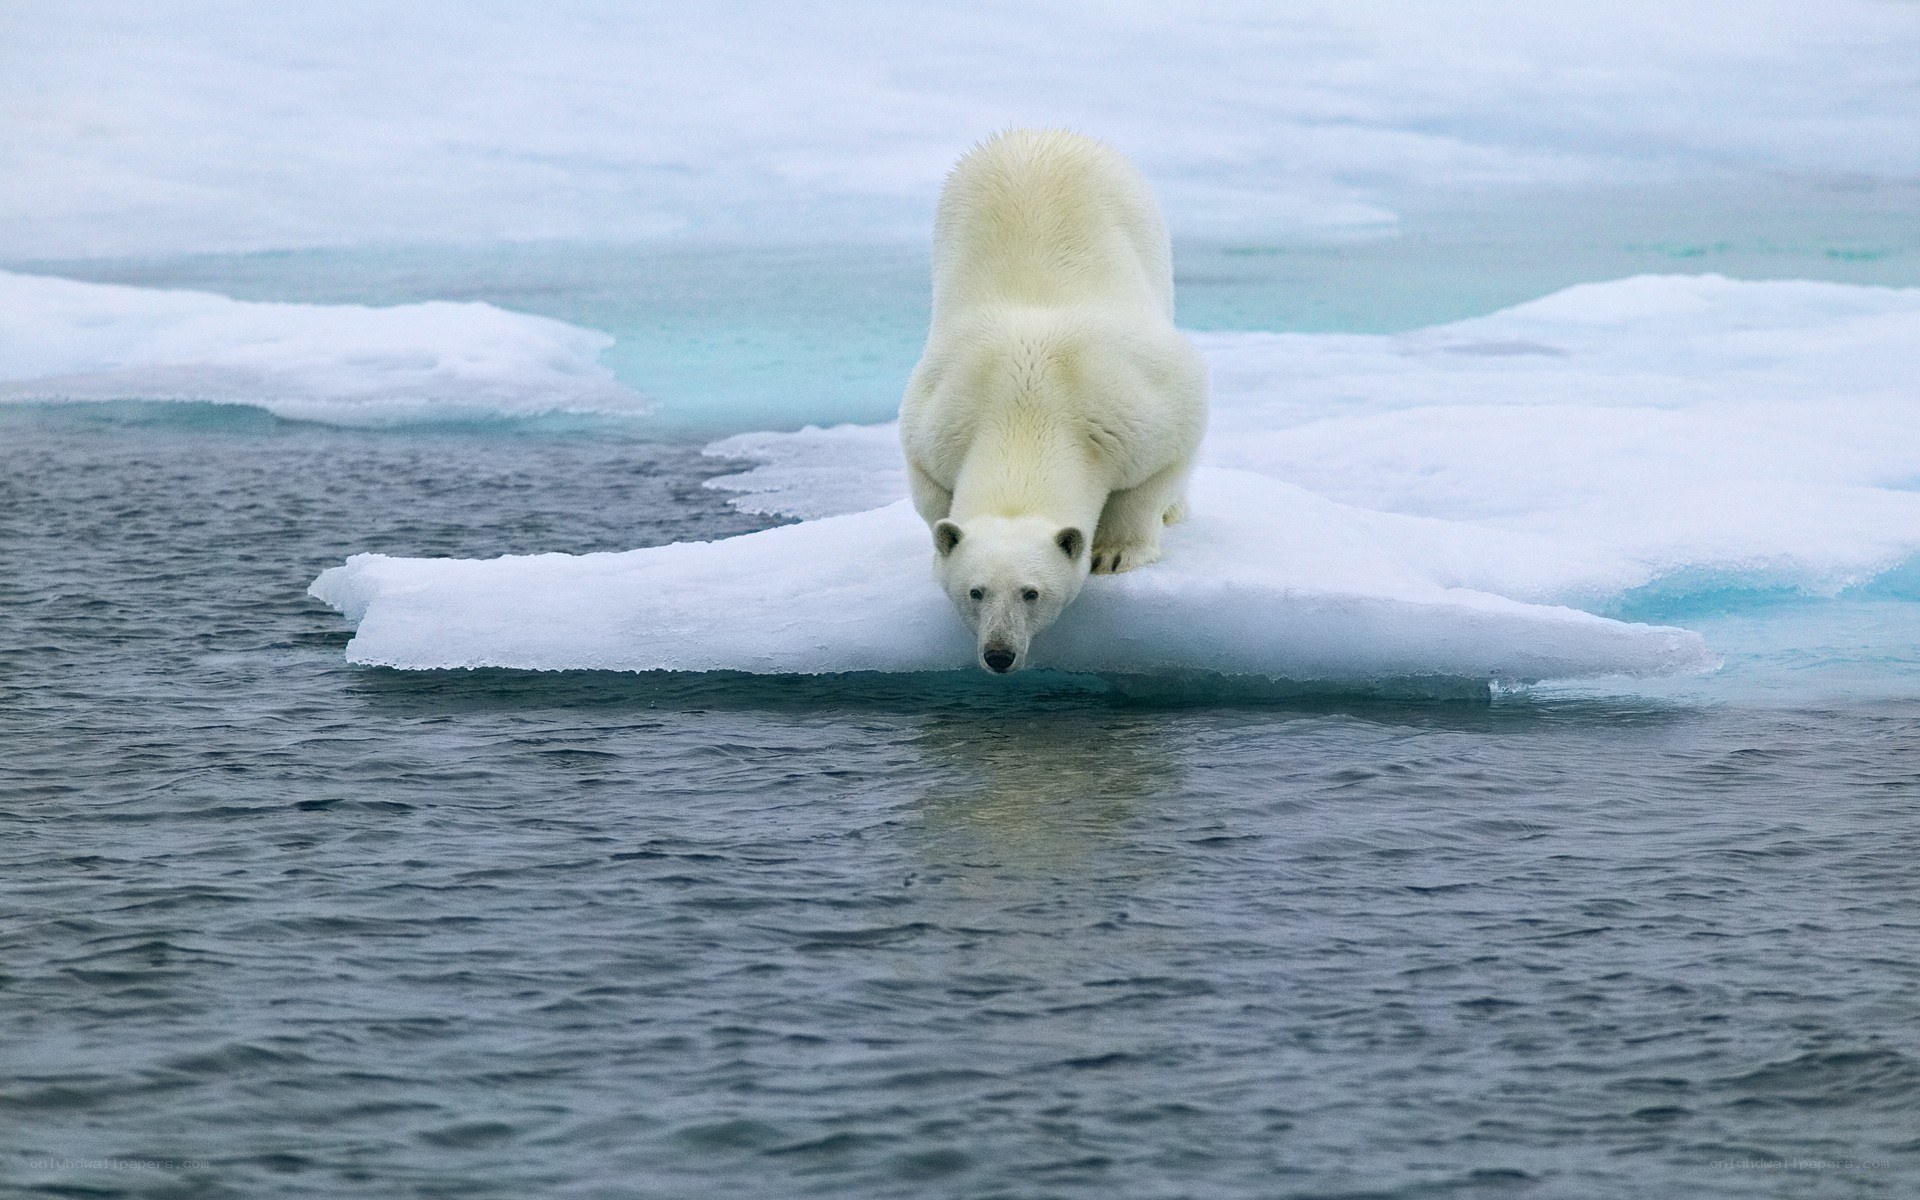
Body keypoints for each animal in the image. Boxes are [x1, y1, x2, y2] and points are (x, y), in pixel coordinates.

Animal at [898, 129, 1208, 674]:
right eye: (975, 592)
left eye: (1032, 593)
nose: (999, 653)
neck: (1029, 405)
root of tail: (1037, 132)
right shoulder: (937, 422)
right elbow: (932, 497)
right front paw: (939, 552)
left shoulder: (1137, 405)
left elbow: (1158, 468)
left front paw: (1115, 553)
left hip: (1144, 225)